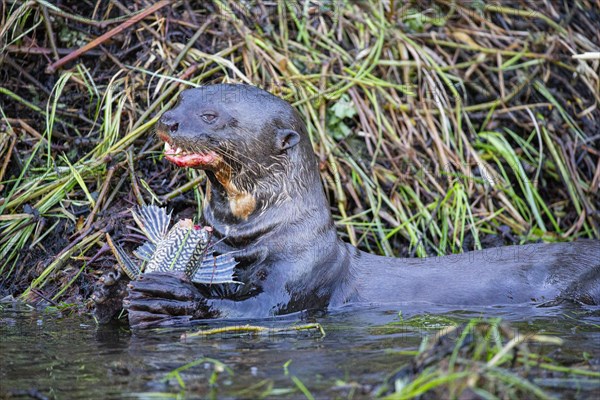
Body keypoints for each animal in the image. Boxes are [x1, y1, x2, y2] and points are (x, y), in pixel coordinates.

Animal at [123, 83, 600, 328]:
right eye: (181, 100)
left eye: (211, 117)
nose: (168, 120)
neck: (254, 234)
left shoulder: (304, 274)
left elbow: (256, 310)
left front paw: (169, 297)